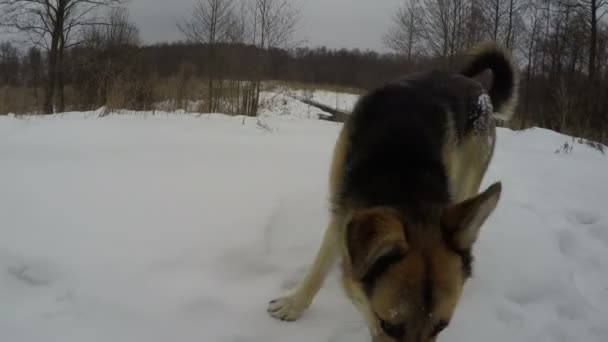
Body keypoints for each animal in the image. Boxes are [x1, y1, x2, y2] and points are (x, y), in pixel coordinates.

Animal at [266, 41, 516, 340]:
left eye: (441, 326)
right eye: (389, 325)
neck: (400, 168)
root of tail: (479, 88)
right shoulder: (342, 207)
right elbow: (319, 266)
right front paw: (294, 304)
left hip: (468, 178)